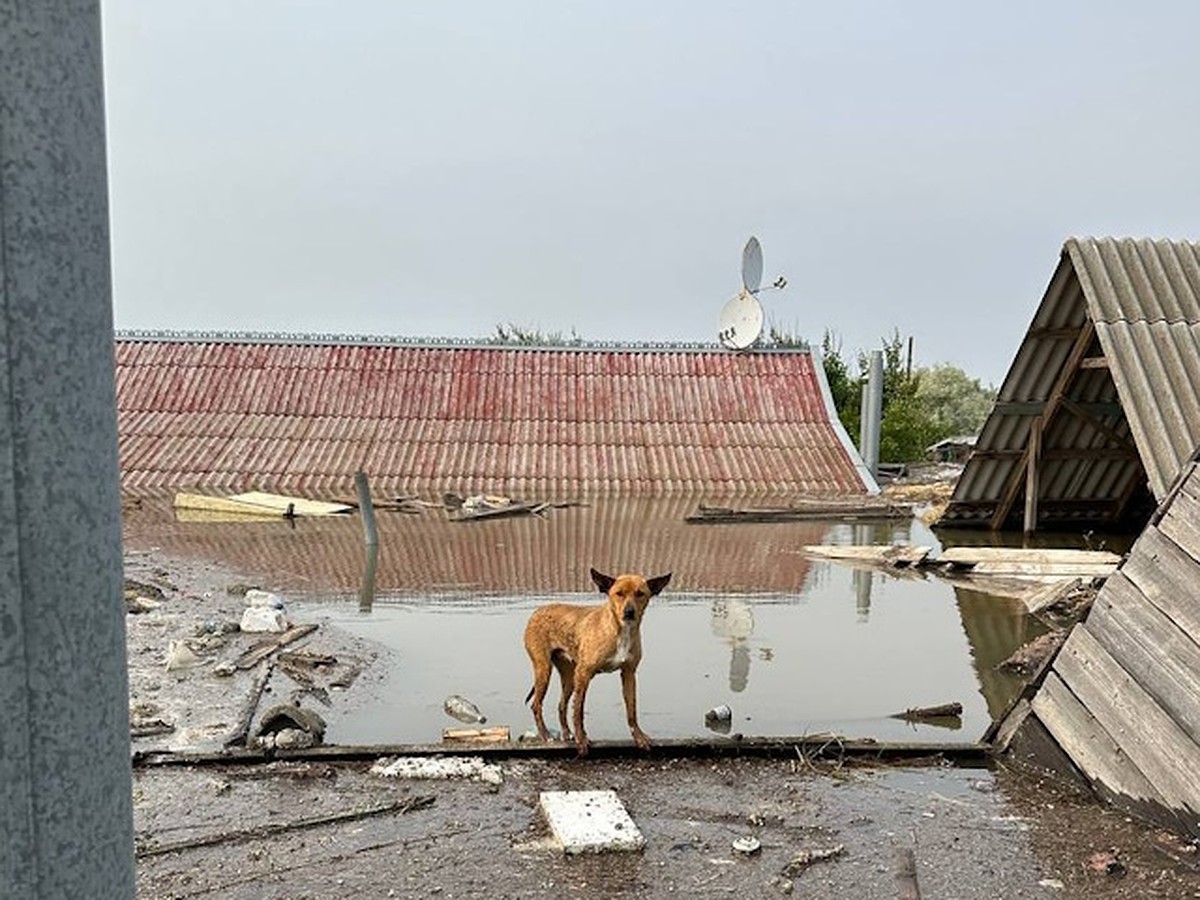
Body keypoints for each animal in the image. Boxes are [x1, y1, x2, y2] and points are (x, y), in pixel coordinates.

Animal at [525, 571, 676, 753]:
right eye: (619, 593)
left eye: (640, 594)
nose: (629, 611)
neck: (619, 630)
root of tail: (537, 612)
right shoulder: (584, 674)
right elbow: (579, 711)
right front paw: (581, 739)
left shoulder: (629, 674)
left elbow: (631, 710)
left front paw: (639, 736)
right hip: (544, 669)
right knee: (536, 705)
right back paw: (546, 735)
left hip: (569, 677)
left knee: (561, 705)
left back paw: (567, 733)